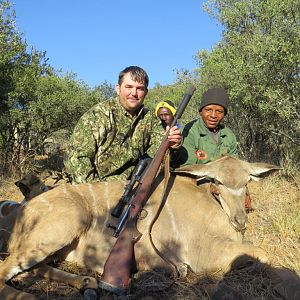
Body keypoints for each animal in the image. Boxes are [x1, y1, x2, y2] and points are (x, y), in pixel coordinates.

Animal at [0, 156, 298, 298]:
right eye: (218, 182)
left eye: (247, 181)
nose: (240, 220)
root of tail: (21, 212)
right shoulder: (204, 256)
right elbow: (265, 256)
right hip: (64, 225)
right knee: (6, 270)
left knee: (32, 268)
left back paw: (88, 282)